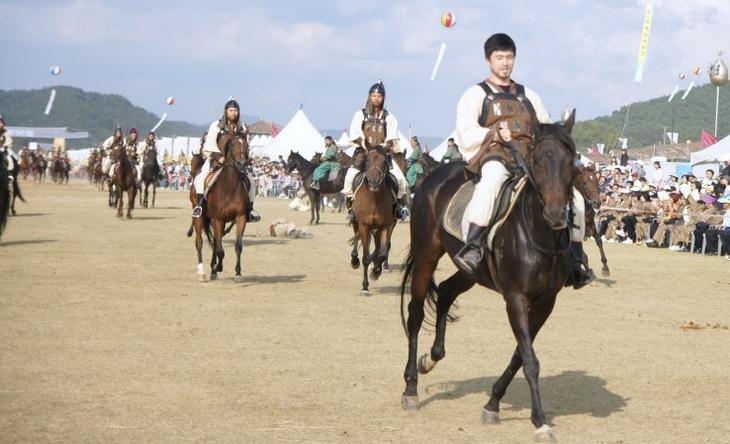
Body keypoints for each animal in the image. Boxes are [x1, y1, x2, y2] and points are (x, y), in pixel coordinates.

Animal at [192, 127, 250, 282]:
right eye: (232, 145)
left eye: (247, 146)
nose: (242, 164)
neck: (229, 186)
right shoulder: (218, 219)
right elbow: (219, 250)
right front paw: (219, 267)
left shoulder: (240, 218)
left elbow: (238, 246)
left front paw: (237, 273)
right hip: (199, 217)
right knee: (200, 242)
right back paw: (202, 272)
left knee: (214, 242)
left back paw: (213, 269)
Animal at [349, 144, 397, 295]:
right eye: (367, 160)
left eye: (384, 161)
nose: (374, 181)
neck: (375, 199)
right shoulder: (364, 226)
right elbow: (365, 257)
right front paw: (365, 286)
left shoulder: (386, 226)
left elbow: (382, 253)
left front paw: (376, 272)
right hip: (356, 222)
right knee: (356, 237)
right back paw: (354, 260)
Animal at [399, 114, 578, 442]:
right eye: (537, 159)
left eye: (570, 160)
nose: (557, 214)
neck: (537, 233)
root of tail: (433, 178)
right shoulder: (516, 299)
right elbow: (530, 360)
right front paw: (540, 421)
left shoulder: (545, 303)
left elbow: (520, 354)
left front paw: (493, 402)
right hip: (426, 257)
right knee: (415, 314)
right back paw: (411, 387)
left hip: (470, 272)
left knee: (446, 292)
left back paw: (431, 358)